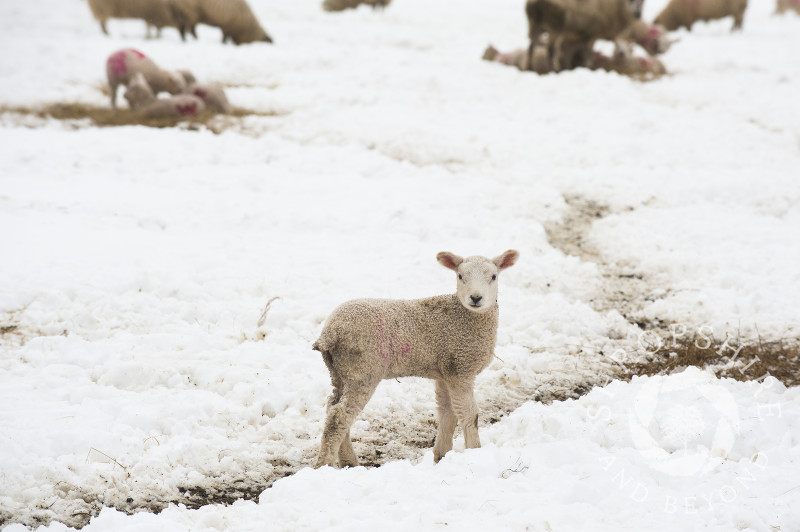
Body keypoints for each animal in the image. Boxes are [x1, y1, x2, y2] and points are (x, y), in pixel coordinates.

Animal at [312, 248, 520, 466]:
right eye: (460, 276)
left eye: (494, 276)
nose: (476, 298)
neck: (465, 316)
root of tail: (330, 332)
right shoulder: (460, 368)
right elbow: (469, 414)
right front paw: (475, 451)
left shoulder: (446, 371)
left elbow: (447, 412)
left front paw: (441, 455)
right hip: (361, 370)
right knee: (339, 417)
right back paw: (325, 465)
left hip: (338, 371)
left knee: (332, 408)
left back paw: (348, 462)